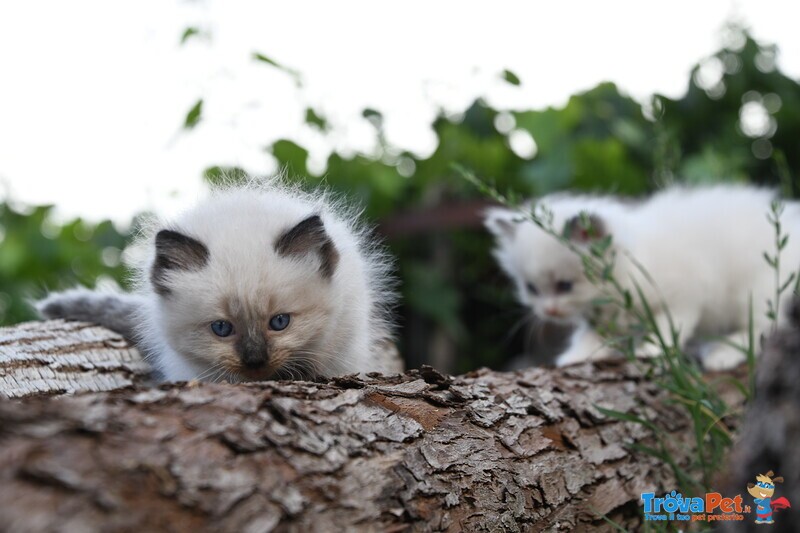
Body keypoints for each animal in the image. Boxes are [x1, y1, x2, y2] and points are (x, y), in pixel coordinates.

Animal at [484, 185, 800, 368]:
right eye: (532, 289)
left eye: (565, 286)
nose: (548, 311)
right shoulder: (601, 317)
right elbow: (591, 336)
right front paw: (576, 356)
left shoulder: (684, 295)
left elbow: (668, 327)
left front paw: (651, 350)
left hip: (759, 291)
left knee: (765, 327)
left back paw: (723, 354)